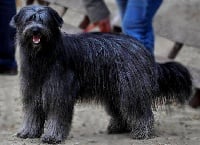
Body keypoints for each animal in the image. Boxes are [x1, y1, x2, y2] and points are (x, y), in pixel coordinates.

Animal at [10, 5, 192, 144]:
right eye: (29, 19)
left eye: (44, 21)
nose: (36, 30)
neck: (42, 57)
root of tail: (141, 48)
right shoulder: (32, 92)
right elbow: (32, 114)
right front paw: (28, 132)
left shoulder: (59, 93)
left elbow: (56, 116)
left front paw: (52, 136)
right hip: (115, 92)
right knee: (120, 111)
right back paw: (118, 128)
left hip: (131, 91)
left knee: (141, 112)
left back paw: (142, 132)